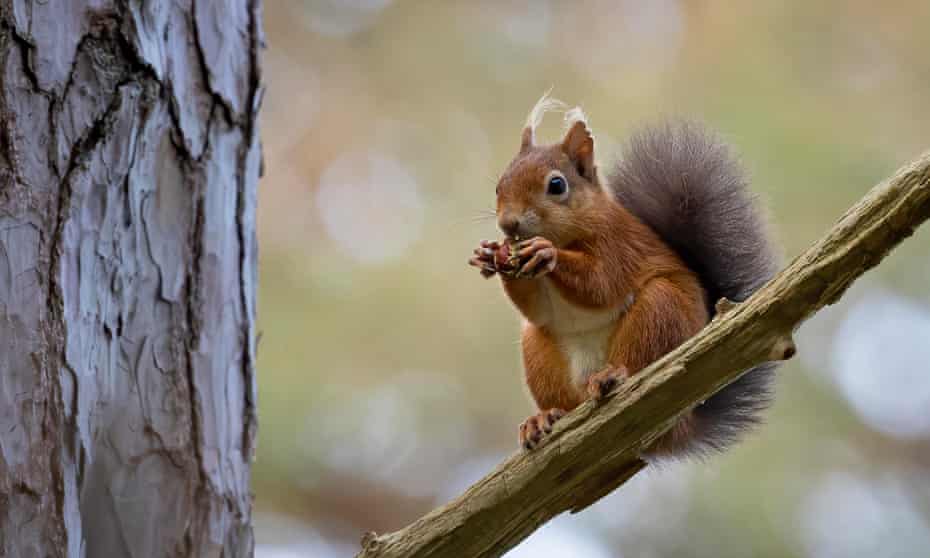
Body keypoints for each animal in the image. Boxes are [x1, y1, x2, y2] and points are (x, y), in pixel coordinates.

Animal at [464, 96, 776, 462]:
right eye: (499, 185)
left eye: (557, 185)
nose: (508, 224)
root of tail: (675, 424)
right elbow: (536, 308)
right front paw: (490, 254)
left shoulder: (618, 246)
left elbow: (601, 284)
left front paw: (546, 253)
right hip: (538, 352)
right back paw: (544, 417)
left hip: (659, 311)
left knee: (638, 362)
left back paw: (613, 375)